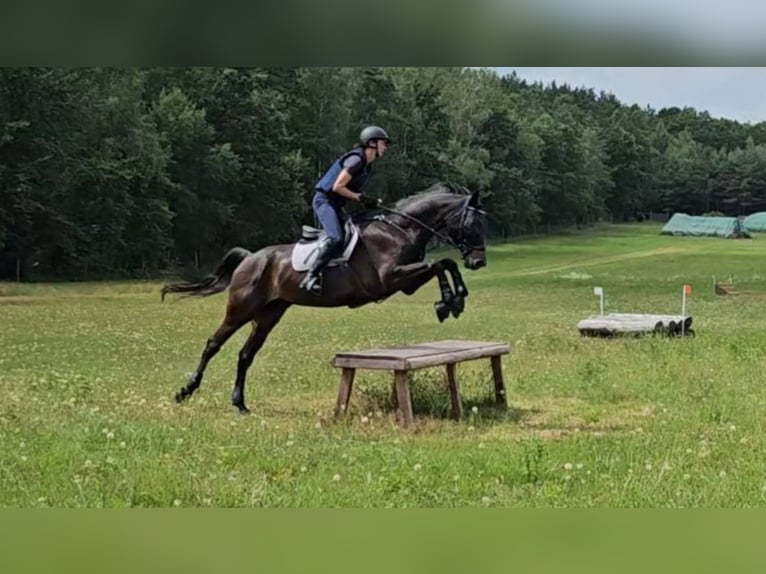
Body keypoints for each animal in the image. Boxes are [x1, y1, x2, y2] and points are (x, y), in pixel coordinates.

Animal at [160, 182, 489, 414]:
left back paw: (239, 403)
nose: (479, 263)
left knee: (245, 355)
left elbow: (443, 264)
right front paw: (449, 302)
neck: (400, 229)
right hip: (240, 309)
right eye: (472, 225)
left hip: (268, 315)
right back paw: (185, 391)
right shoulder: (391, 278)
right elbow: (441, 264)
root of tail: (251, 257)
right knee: (213, 344)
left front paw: (453, 300)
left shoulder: (405, 282)